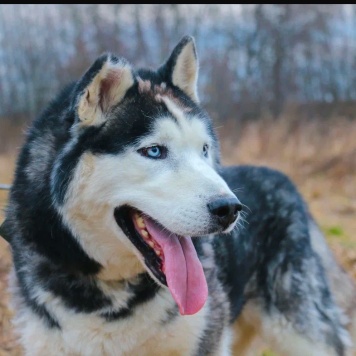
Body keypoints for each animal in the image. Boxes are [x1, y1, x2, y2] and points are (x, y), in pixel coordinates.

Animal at [3, 34, 356, 356]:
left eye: (204, 149)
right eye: (154, 151)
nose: (230, 208)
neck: (112, 297)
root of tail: (282, 178)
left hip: (303, 330)